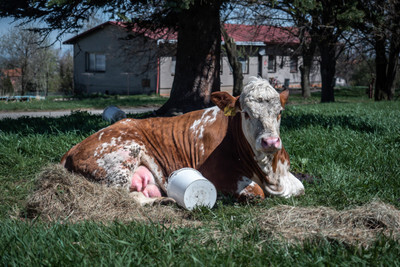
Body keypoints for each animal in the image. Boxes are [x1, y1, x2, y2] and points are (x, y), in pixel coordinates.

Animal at [61, 76, 304, 206]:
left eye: (280, 112)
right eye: (245, 113)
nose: (270, 142)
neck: (269, 173)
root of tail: (72, 149)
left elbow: (300, 188)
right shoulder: (217, 175)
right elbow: (255, 193)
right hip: (123, 156)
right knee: (121, 196)